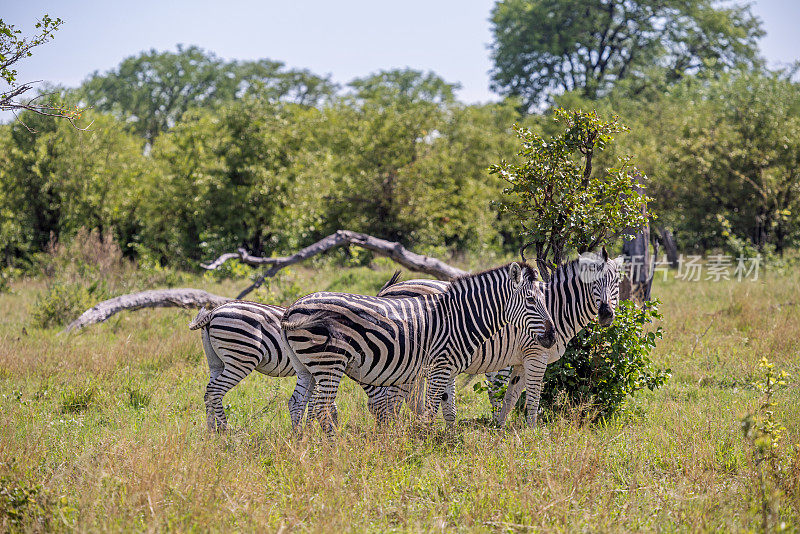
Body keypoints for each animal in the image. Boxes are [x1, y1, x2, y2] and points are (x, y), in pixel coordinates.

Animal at [282, 262, 556, 436]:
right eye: (531, 300)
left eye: (545, 299)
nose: (552, 337)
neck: (459, 317)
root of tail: (292, 308)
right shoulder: (440, 365)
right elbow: (431, 406)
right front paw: (424, 440)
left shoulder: (447, 368)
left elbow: (445, 406)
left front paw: (442, 438)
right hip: (330, 362)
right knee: (321, 408)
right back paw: (333, 445)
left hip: (305, 366)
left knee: (297, 403)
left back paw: (300, 444)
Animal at [370, 249, 624, 430]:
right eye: (593, 282)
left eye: (617, 283)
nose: (606, 314)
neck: (555, 307)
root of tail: (387, 290)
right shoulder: (535, 355)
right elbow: (532, 397)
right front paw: (531, 433)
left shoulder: (520, 360)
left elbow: (511, 397)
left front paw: (499, 429)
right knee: (397, 398)